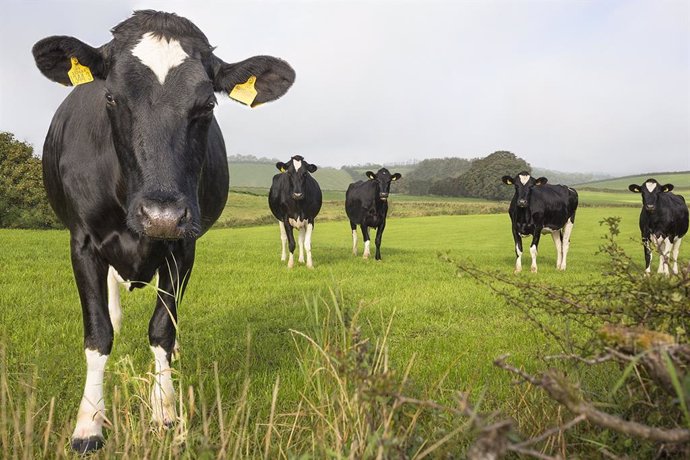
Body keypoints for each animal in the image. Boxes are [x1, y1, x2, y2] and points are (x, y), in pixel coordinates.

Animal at [31, 10, 292, 452]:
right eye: (111, 97)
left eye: (207, 104)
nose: (162, 215)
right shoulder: (82, 243)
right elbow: (98, 333)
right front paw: (89, 423)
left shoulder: (183, 247)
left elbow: (162, 329)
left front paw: (166, 412)